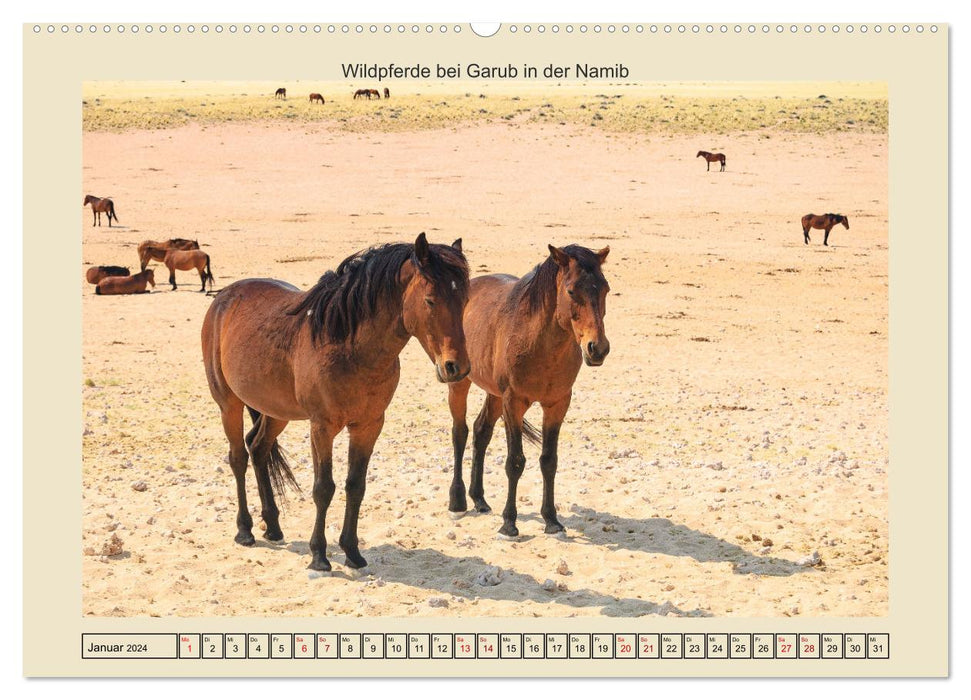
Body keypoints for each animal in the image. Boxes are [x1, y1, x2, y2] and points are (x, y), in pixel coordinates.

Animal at [200, 232, 470, 572]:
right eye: (431, 300)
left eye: (465, 300)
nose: (456, 367)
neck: (349, 347)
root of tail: (223, 298)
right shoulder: (322, 427)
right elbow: (323, 487)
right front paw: (319, 555)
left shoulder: (368, 426)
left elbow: (356, 486)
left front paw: (352, 551)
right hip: (229, 405)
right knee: (238, 457)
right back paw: (245, 530)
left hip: (276, 411)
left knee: (258, 449)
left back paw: (273, 526)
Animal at [446, 243, 612, 540]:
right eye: (572, 291)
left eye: (605, 289)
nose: (598, 348)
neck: (539, 343)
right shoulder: (514, 403)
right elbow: (515, 462)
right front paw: (509, 524)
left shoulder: (557, 404)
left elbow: (549, 461)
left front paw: (552, 520)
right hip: (460, 383)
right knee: (460, 433)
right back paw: (458, 502)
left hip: (494, 395)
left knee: (480, 431)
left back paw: (479, 499)